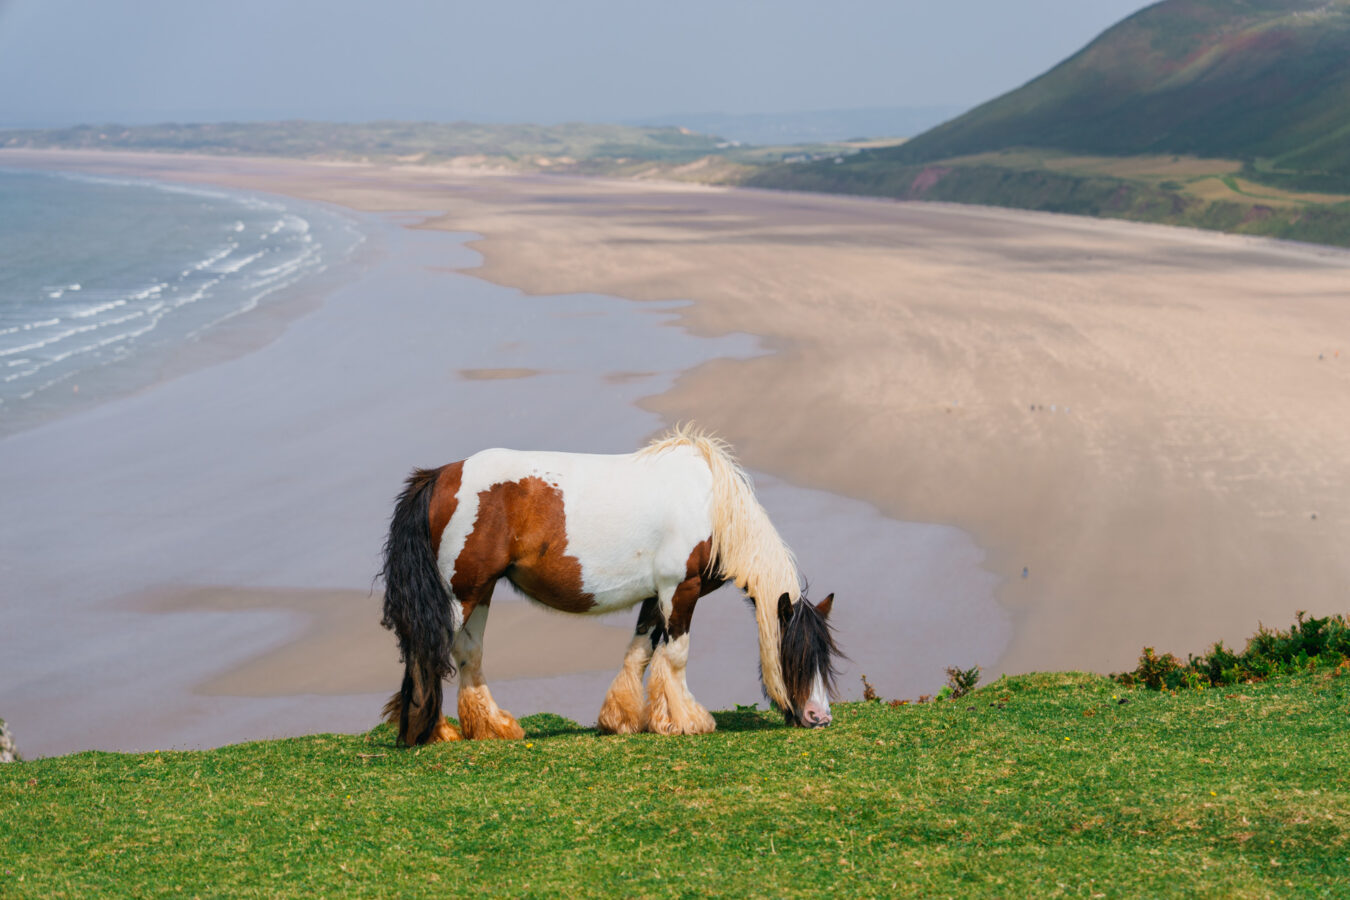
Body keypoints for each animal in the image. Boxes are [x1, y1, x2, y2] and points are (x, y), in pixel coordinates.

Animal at [379, 425, 839, 745]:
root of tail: (441, 475)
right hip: (461, 593)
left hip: (482, 590)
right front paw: (688, 721)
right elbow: (675, 655)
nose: (819, 718)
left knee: (468, 654)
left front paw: (623, 720)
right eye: (799, 655)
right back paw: (431, 733)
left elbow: (640, 653)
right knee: (428, 652)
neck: (712, 505)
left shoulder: (656, 595)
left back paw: (492, 727)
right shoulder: (680, 590)